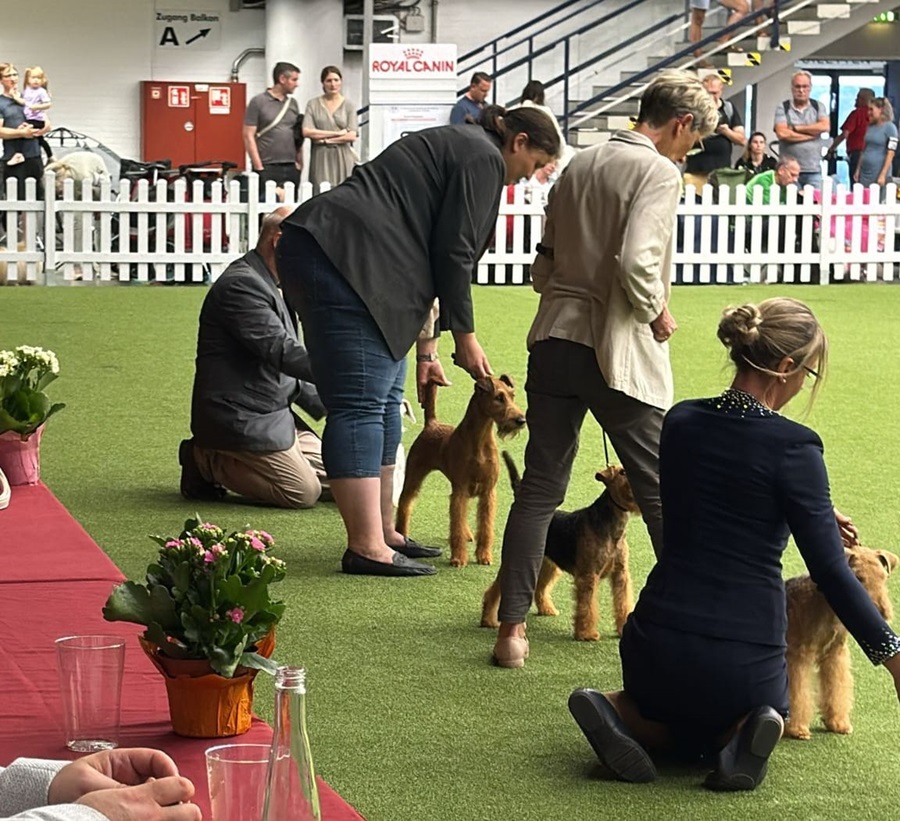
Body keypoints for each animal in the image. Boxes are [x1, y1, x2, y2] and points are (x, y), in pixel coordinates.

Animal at [394, 375, 526, 567]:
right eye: (499, 398)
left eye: (512, 395)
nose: (521, 420)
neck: (480, 441)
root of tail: (432, 424)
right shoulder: (461, 490)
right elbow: (455, 525)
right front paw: (458, 558)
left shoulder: (487, 492)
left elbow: (485, 528)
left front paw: (484, 556)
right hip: (414, 477)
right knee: (405, 505)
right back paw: (401, 534)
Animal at [481, 453, 641, 641]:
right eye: (623, 472)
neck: (611, 525)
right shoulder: (588, 575)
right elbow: (586, 606)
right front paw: (586, 633)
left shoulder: (620, 574)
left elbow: (623, 602)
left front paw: (622, 628)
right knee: (493, 591)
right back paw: (488, 620)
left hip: (548, 565)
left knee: (540, 588)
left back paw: (547, 609)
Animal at [784, 545, 898, 740]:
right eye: (858, 578)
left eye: (883, 577)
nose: (881, 612)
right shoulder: (798, 656)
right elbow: (798, 693)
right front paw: (797, 728)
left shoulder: (835, 655)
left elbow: (836, 688)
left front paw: (838, 723)